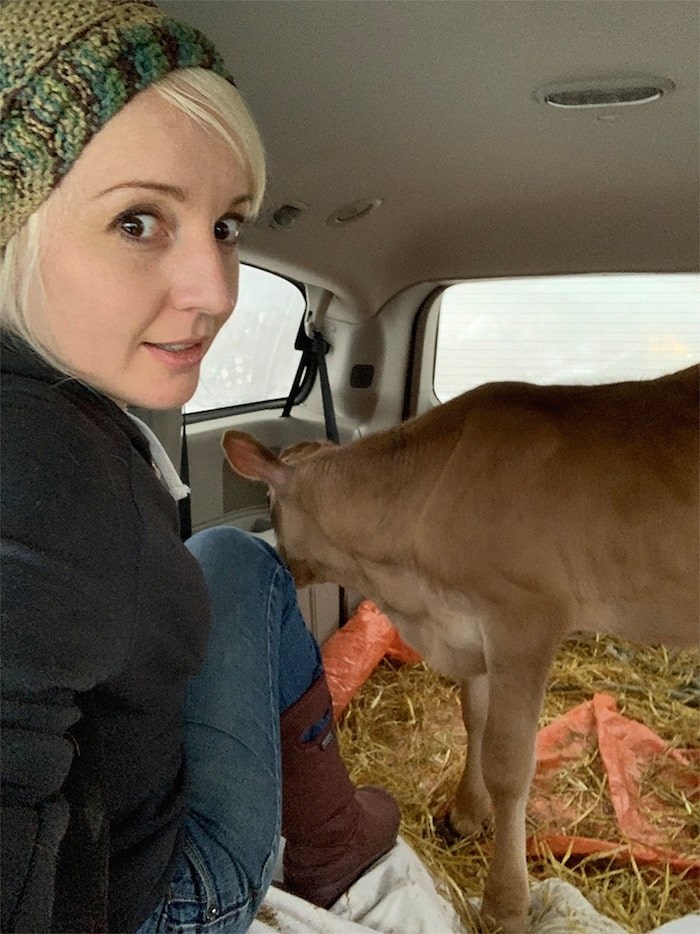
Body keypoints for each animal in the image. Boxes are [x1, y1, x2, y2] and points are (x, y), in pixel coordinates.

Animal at [221, 368, 696, 934]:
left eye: (271, 507)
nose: (283, 568)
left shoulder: (524, 620)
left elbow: (509, 764)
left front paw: (505, 903)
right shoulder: (470, 623)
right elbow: (476, 718)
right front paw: (467, 812)